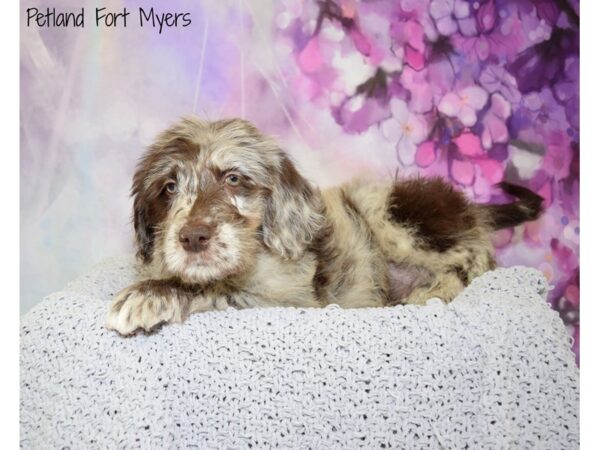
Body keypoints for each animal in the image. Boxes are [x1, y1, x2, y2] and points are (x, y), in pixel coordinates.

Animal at [104, 116, 544, 334]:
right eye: (169, 187)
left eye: (233, 179)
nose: (193, 237)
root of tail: (470, 207)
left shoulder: (287, 297)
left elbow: (218, 288)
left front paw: (148, 296)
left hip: (386, 207)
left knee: (474, 259)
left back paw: (429, 292)